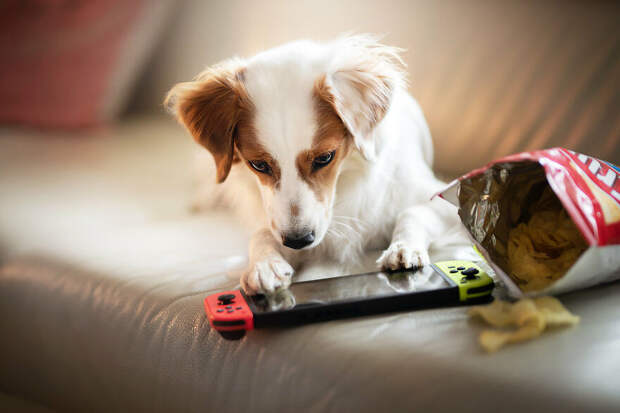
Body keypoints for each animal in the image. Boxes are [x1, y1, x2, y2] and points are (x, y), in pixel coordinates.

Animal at [165, 34, 464, 292]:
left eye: (324, 158)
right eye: (258, 165)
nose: (298, 241)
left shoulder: (442, 198)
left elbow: (412, 213)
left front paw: (403, 249)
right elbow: (261, 234)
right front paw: (264, 264)